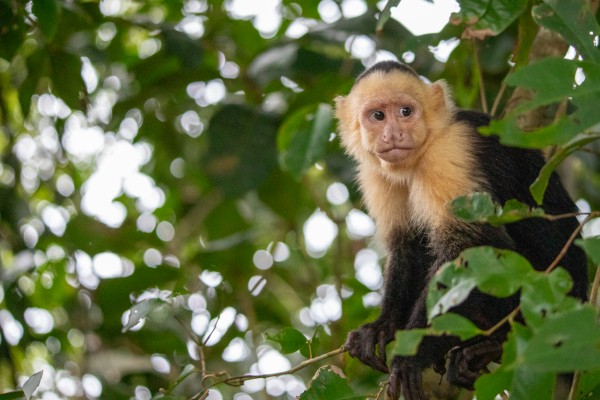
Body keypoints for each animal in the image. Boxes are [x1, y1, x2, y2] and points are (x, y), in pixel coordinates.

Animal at [336, 60, 588, 400]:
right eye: (377, 116)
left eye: (405, 111)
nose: (393, 133)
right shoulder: (376, 173)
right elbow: (408, 246)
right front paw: (383, 326)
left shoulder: (448, 154)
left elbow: (471, 247)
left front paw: (412, 355)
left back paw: (487, 347)